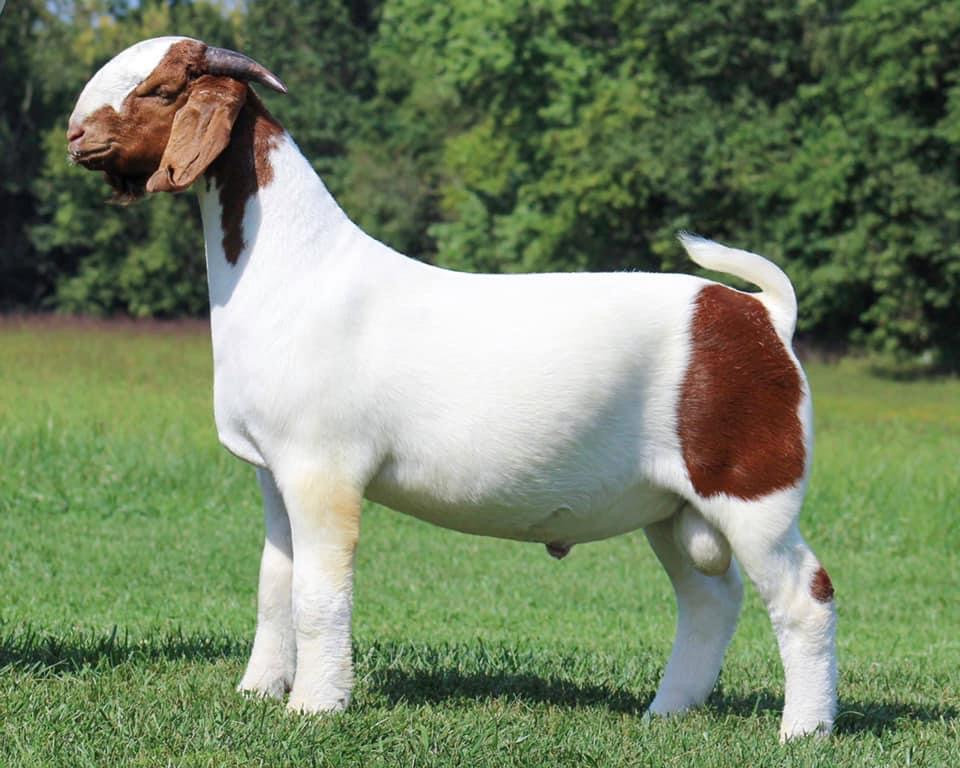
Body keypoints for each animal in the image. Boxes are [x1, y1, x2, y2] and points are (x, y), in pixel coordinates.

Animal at [67, 37, 836, 740]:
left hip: (752, 483)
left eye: (161, 89)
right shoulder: (274, 473)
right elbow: (274, 586)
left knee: (806, 597)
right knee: (710, 599)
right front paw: (258, 691)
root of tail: (762, 314)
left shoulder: (322, 470)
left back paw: (803, 730)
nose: (76, 135)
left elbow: (320, 594)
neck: (293, 267)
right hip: (671, 505)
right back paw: (666, 712)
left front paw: (315, 706)